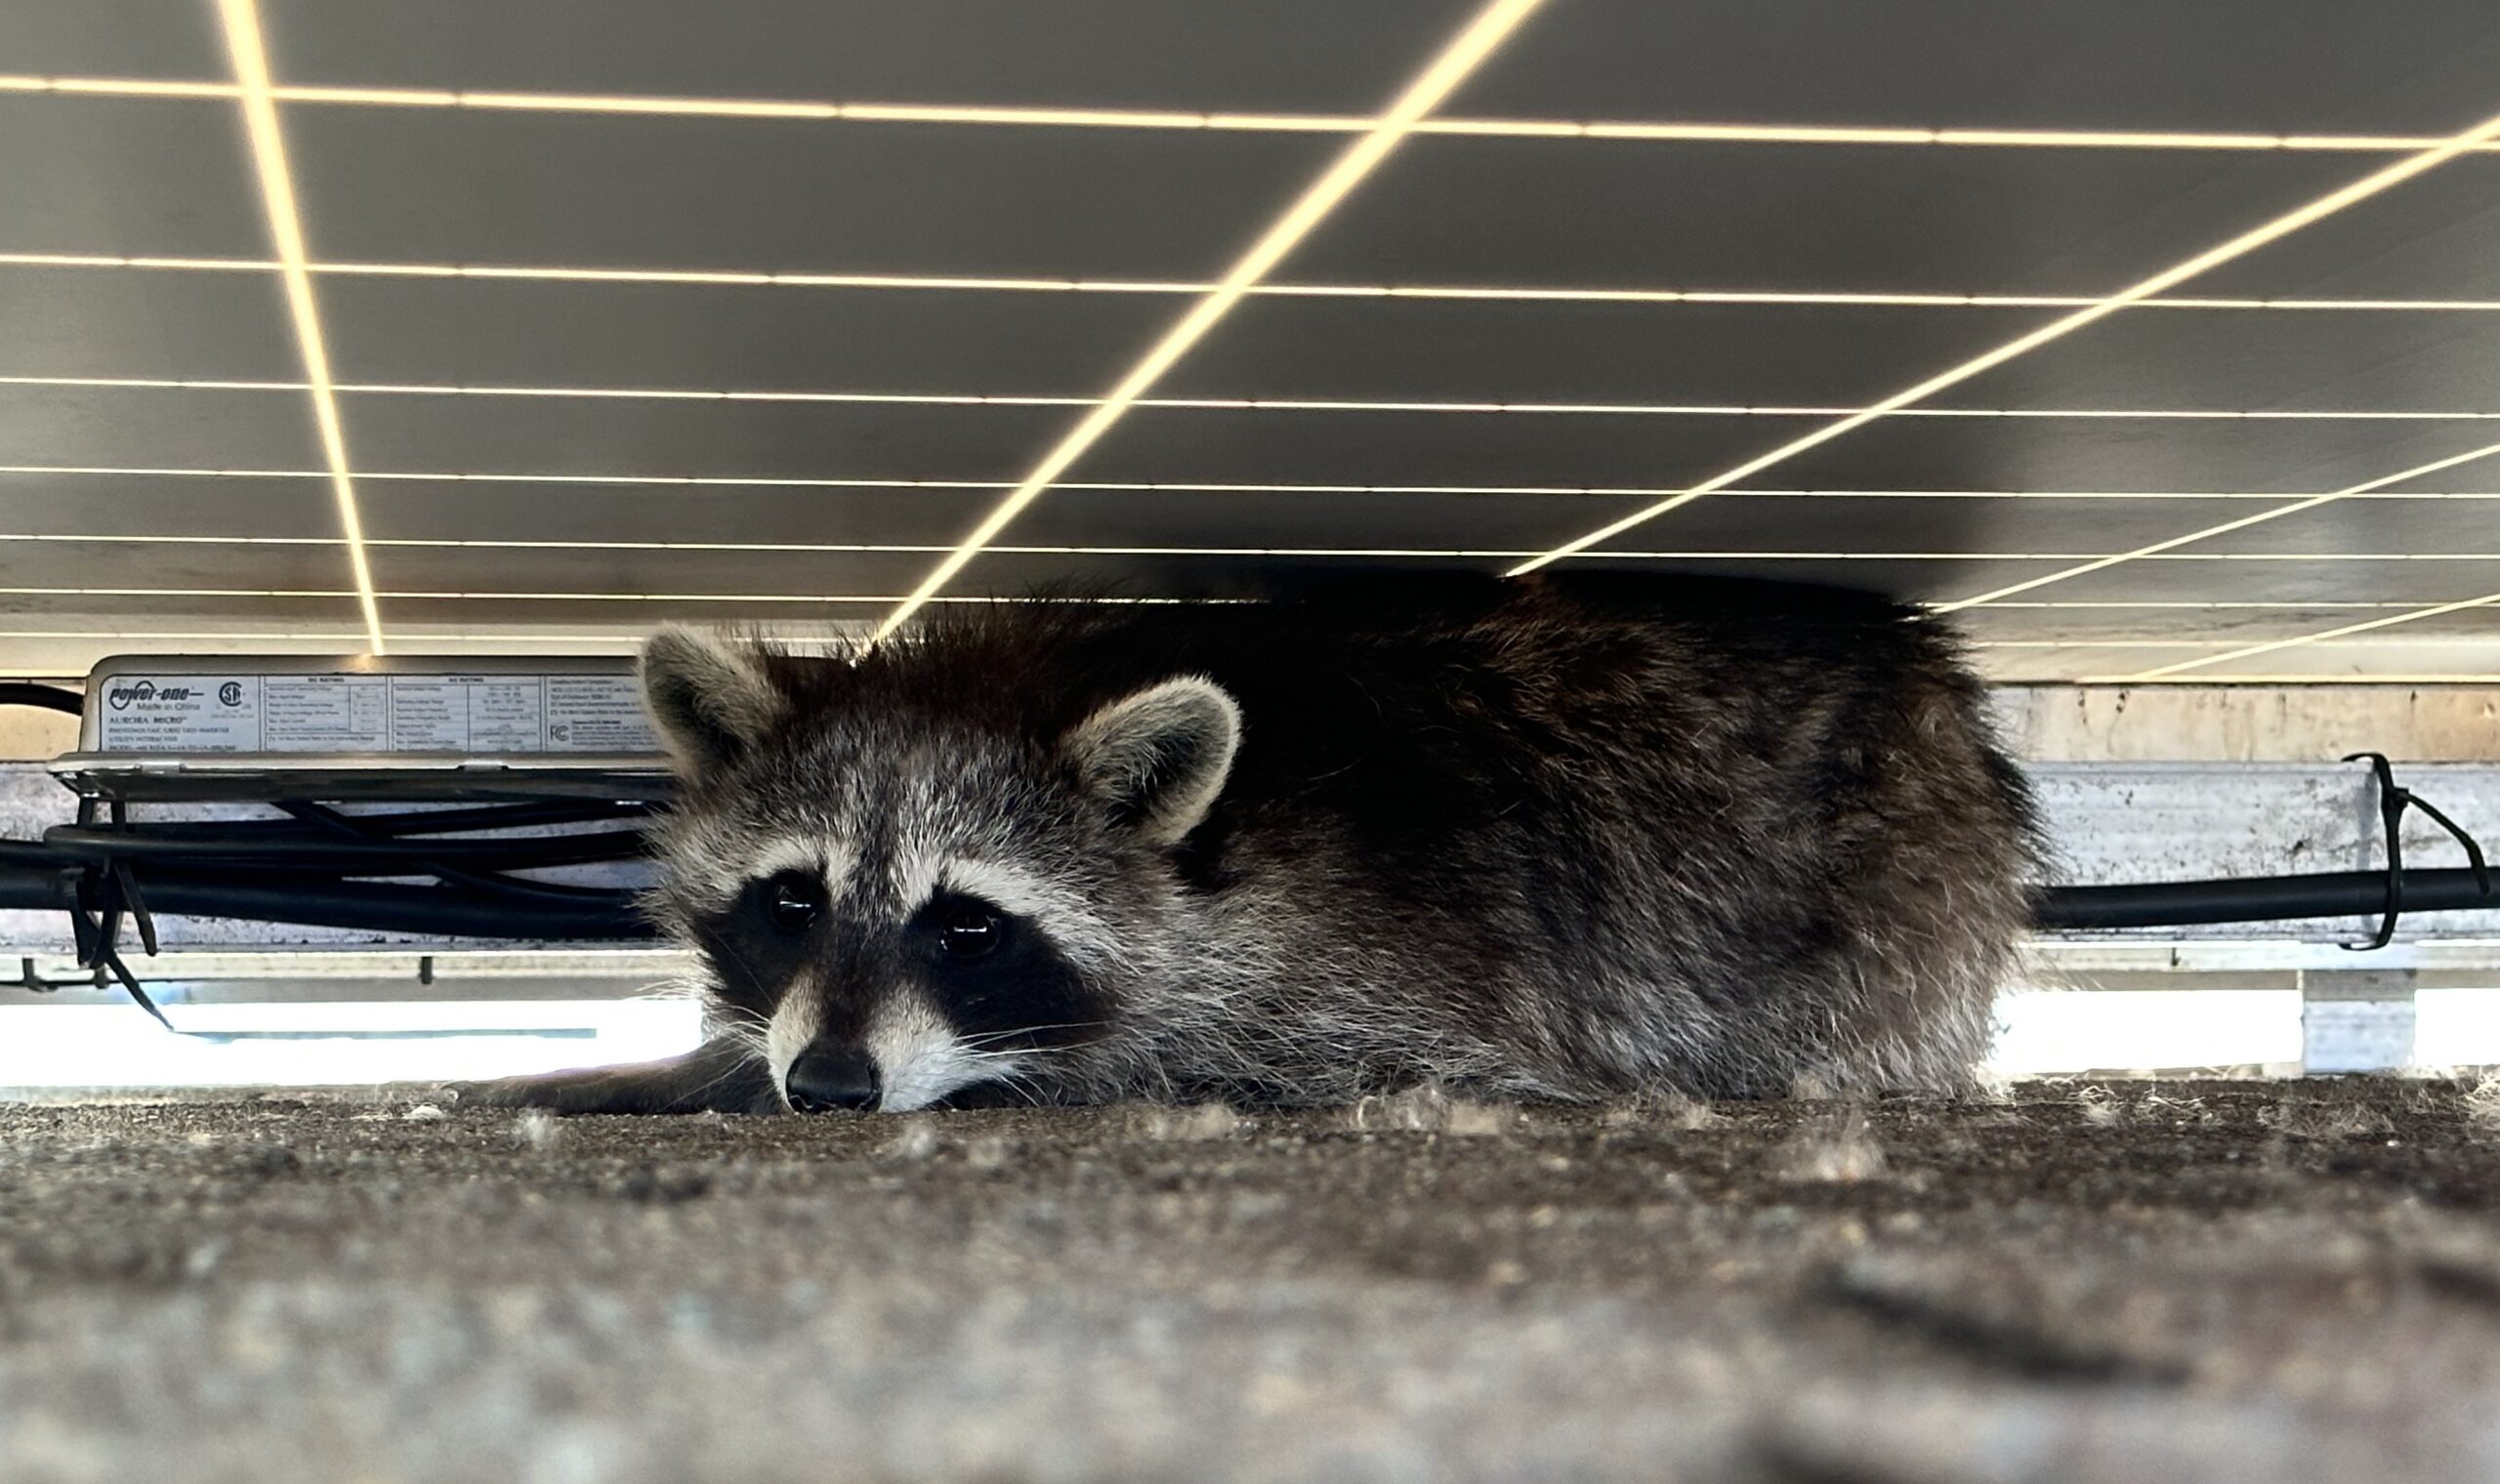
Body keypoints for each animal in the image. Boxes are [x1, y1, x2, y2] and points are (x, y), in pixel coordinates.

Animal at [460, 571, 2039, 1114]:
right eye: (792, 901)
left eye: (967, 924)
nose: (833, 1086)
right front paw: (685, 1066)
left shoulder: (1357, 977)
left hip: (1896, 917)